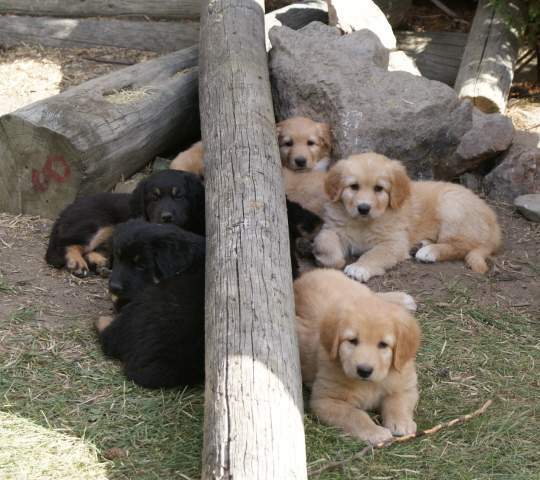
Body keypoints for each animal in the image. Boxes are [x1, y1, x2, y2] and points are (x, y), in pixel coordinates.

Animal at [294, 268, 420, 444]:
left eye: (383, 345)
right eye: (352, 341)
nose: (364, 371)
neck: (369, 385)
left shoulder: (406, 385)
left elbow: (397, 401)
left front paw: (402, 422)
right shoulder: (326, 401)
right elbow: (354, 415)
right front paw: (375, 432)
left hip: (358, 289)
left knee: (374, 295)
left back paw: (402, 299)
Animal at [312, 153, 502, 282]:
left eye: (378, 188)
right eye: (354, 186)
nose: (363, 208)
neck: (363, 223)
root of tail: (492, 216)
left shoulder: (394, 242)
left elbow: (374, 253)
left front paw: (359, 267)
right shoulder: (335, 229)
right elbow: (324, 239)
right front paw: (334, 260)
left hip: (451, 205)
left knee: (462, 245)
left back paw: (429, 251)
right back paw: (420, 245)